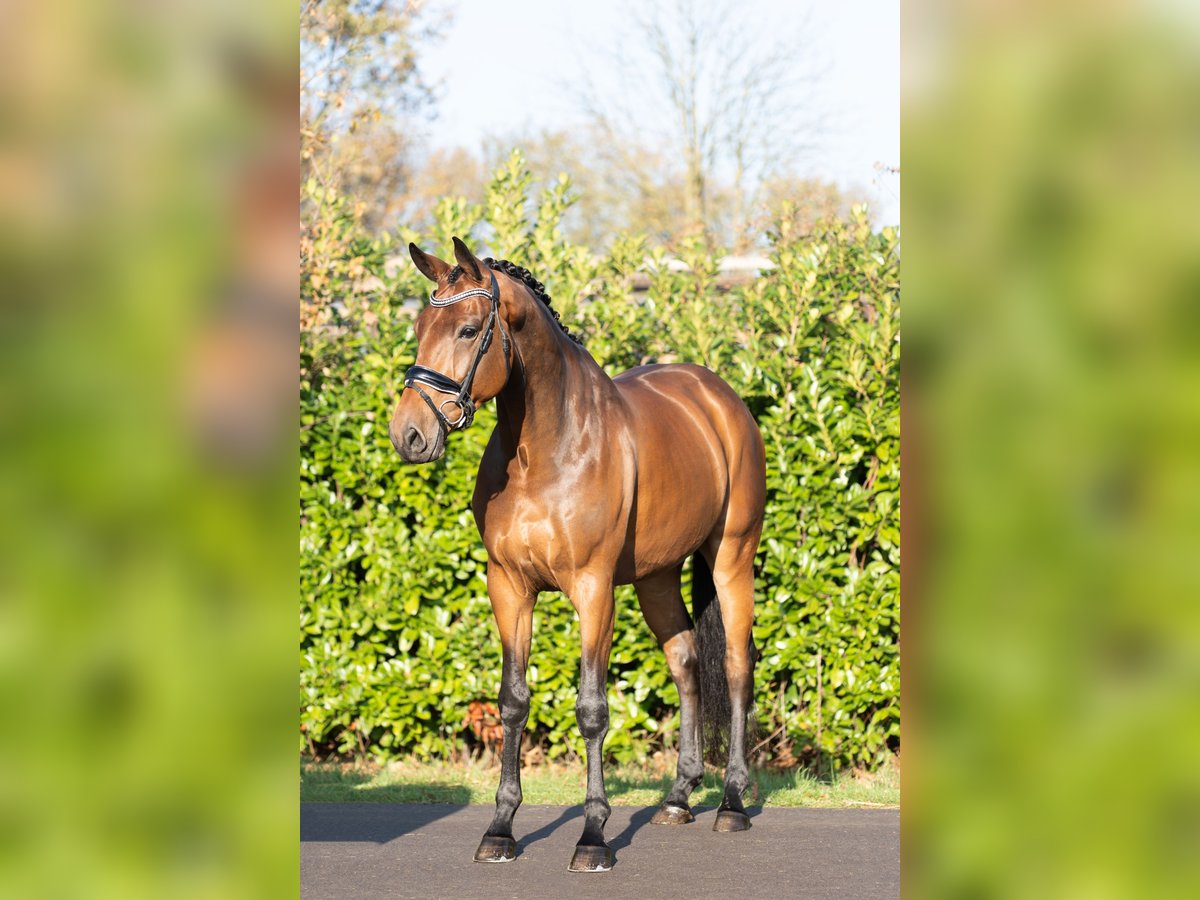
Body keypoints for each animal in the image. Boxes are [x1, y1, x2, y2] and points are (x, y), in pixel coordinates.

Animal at [389, 237, 766, 872]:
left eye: (468, 329)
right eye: (418, 326)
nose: (409, 434)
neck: (546, 448)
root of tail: (719, 398)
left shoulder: (592, 589)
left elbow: (591, 707)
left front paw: (593, 836)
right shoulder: (508, 586)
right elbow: (512, 700)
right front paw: (500, 829)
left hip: (731, 558)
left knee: (738, 667)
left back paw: (732, 803)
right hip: (658, 577)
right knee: (686, 660)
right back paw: (678, 797)